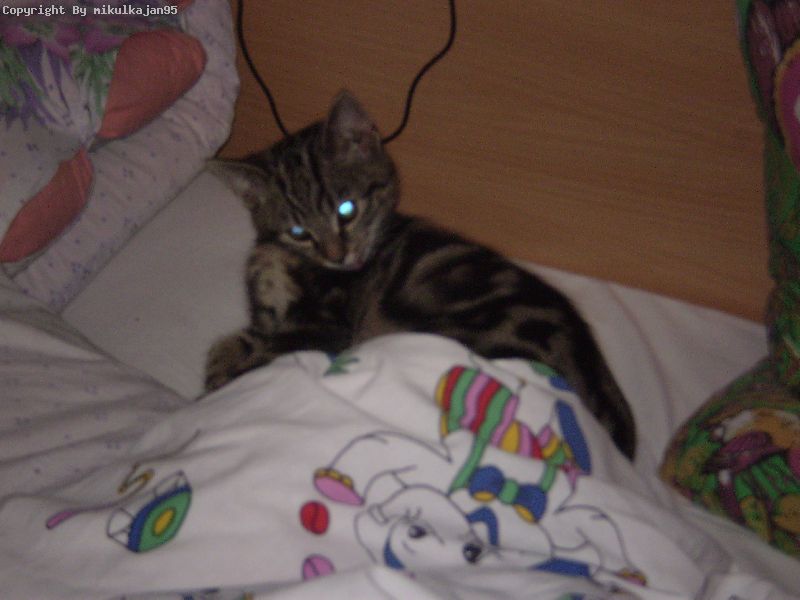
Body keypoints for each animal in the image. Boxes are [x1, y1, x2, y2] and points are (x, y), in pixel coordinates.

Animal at [206, 91, 637, 459]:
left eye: (347, 210)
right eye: (299, 233)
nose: (339, 257)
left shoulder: (325, 329)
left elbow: (256, 355)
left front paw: (217, 384)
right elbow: (241, 341)